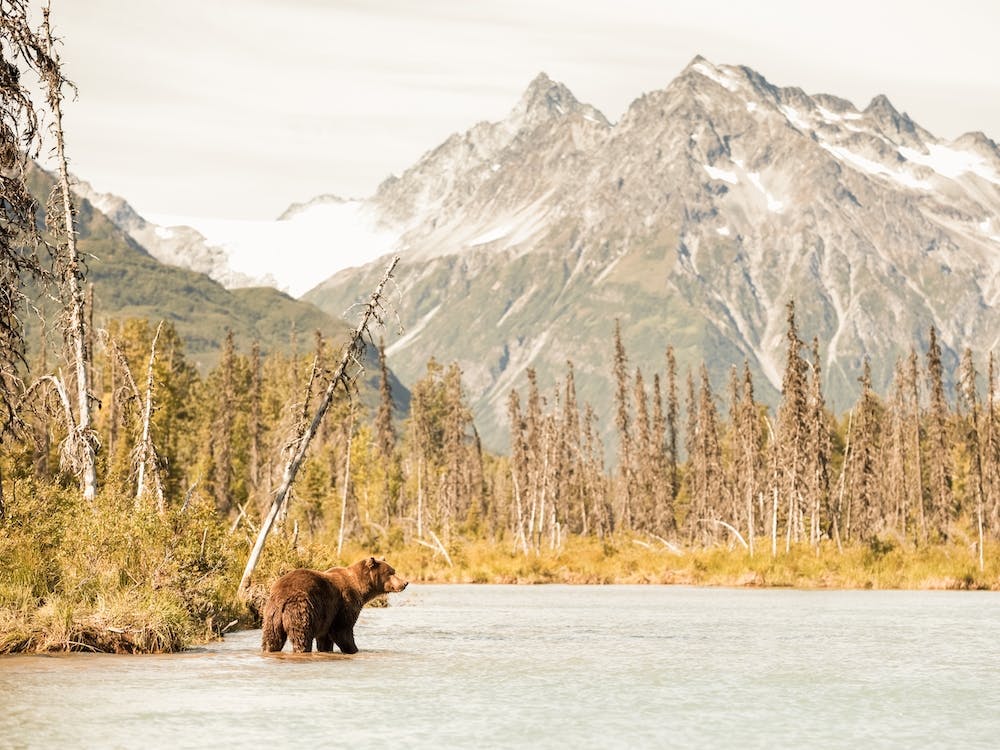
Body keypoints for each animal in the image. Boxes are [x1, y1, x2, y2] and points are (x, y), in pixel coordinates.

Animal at [261, 557, 407, 653]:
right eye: (391, 572)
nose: (405, 583)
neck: (361, 588)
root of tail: (282, 597)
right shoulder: (345, 603)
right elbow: (342, 630)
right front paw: (353, 649)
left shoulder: (326, 618)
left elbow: (325, 639)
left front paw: (326, 649)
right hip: (301, 609)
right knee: (302, 636)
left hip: (271, 615)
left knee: (272, 638)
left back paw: (269, 649)